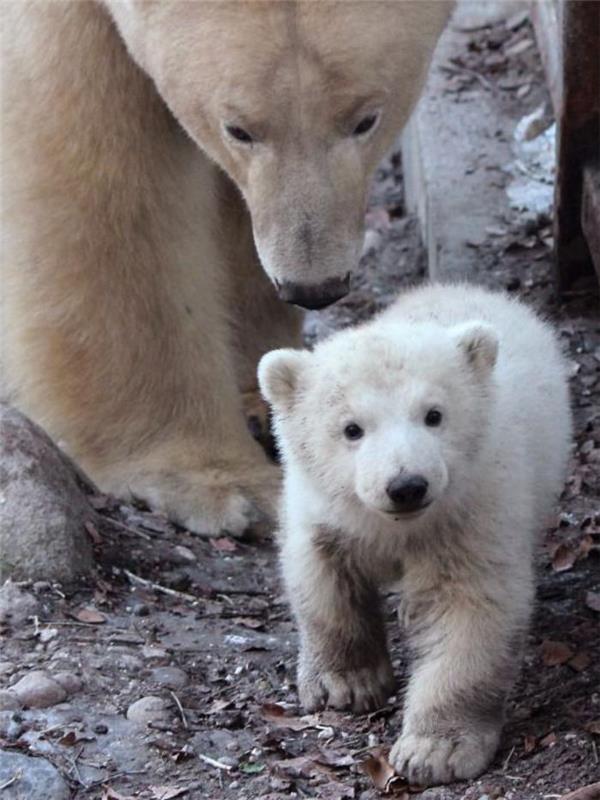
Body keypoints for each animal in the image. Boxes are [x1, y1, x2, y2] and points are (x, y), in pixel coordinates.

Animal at [0, 3, 450, 536]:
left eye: (365, 119)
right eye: (238, 128)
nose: (313, 288)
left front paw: (268, 395)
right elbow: (105, 178)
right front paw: (222, 484)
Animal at [258, 284, 572, 784]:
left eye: (434, 415)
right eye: (351, 428)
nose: (406, 485)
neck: (398, 528)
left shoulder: (472, 510)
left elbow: (469, 609)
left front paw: (436, 750)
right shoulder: (322, 508)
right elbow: (322, 577)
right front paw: (345, 682)